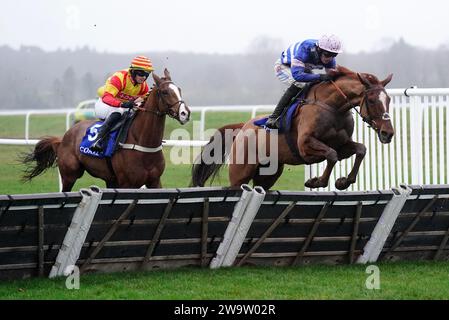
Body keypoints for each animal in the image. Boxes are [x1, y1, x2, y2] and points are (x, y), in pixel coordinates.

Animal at [21, 69, 190, 191]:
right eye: (165, 92)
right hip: (70, 175)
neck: (142, 141)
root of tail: (63, 138)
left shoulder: (154, 181)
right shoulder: (127, 183)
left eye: (179, 89)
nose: (185, 113)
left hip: (109, 179)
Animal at [191, 65, 394, 190]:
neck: (333, 107)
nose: (388, 133)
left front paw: (344, 181)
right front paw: (316, 181)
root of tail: (242, 127)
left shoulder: (342, 144)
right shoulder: (305, 146)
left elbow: (360, 149)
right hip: (240, 172)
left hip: (269, 174)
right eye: (372, 100)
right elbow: (331, 155)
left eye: (389, 99)